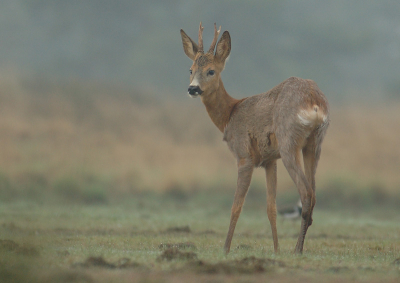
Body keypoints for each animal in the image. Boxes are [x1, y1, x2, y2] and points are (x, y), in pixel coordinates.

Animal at [180, 22, 330, 255]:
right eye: (191, 69)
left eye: (211, 71)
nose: (192, 88)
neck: (230, 114)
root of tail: (313, 101)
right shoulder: (270, 160)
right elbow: (271, 208)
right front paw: (276, 250)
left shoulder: (244, 156)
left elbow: (236, 206)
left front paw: (225, 248)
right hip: (314, 144)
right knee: (313, 193)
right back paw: (298, 247)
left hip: (289, 142)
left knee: (306, 194)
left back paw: (297, 250)